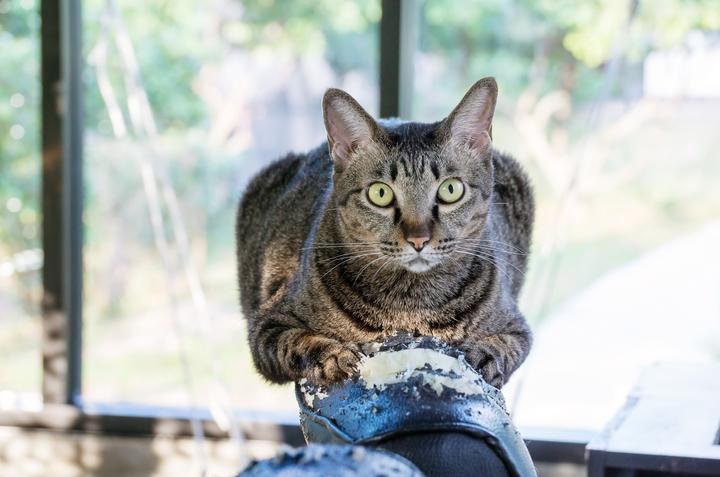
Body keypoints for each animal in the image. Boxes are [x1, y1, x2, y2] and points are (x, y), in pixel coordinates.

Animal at [238, 77, 536, 386]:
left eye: (451, 189)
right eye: (380, 193)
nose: (419, 239)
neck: (410, 308)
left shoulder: (517, 327)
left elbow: (505, 346)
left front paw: (484, 357)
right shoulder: (267, 325)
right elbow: (299, 342)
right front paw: (335, 356)